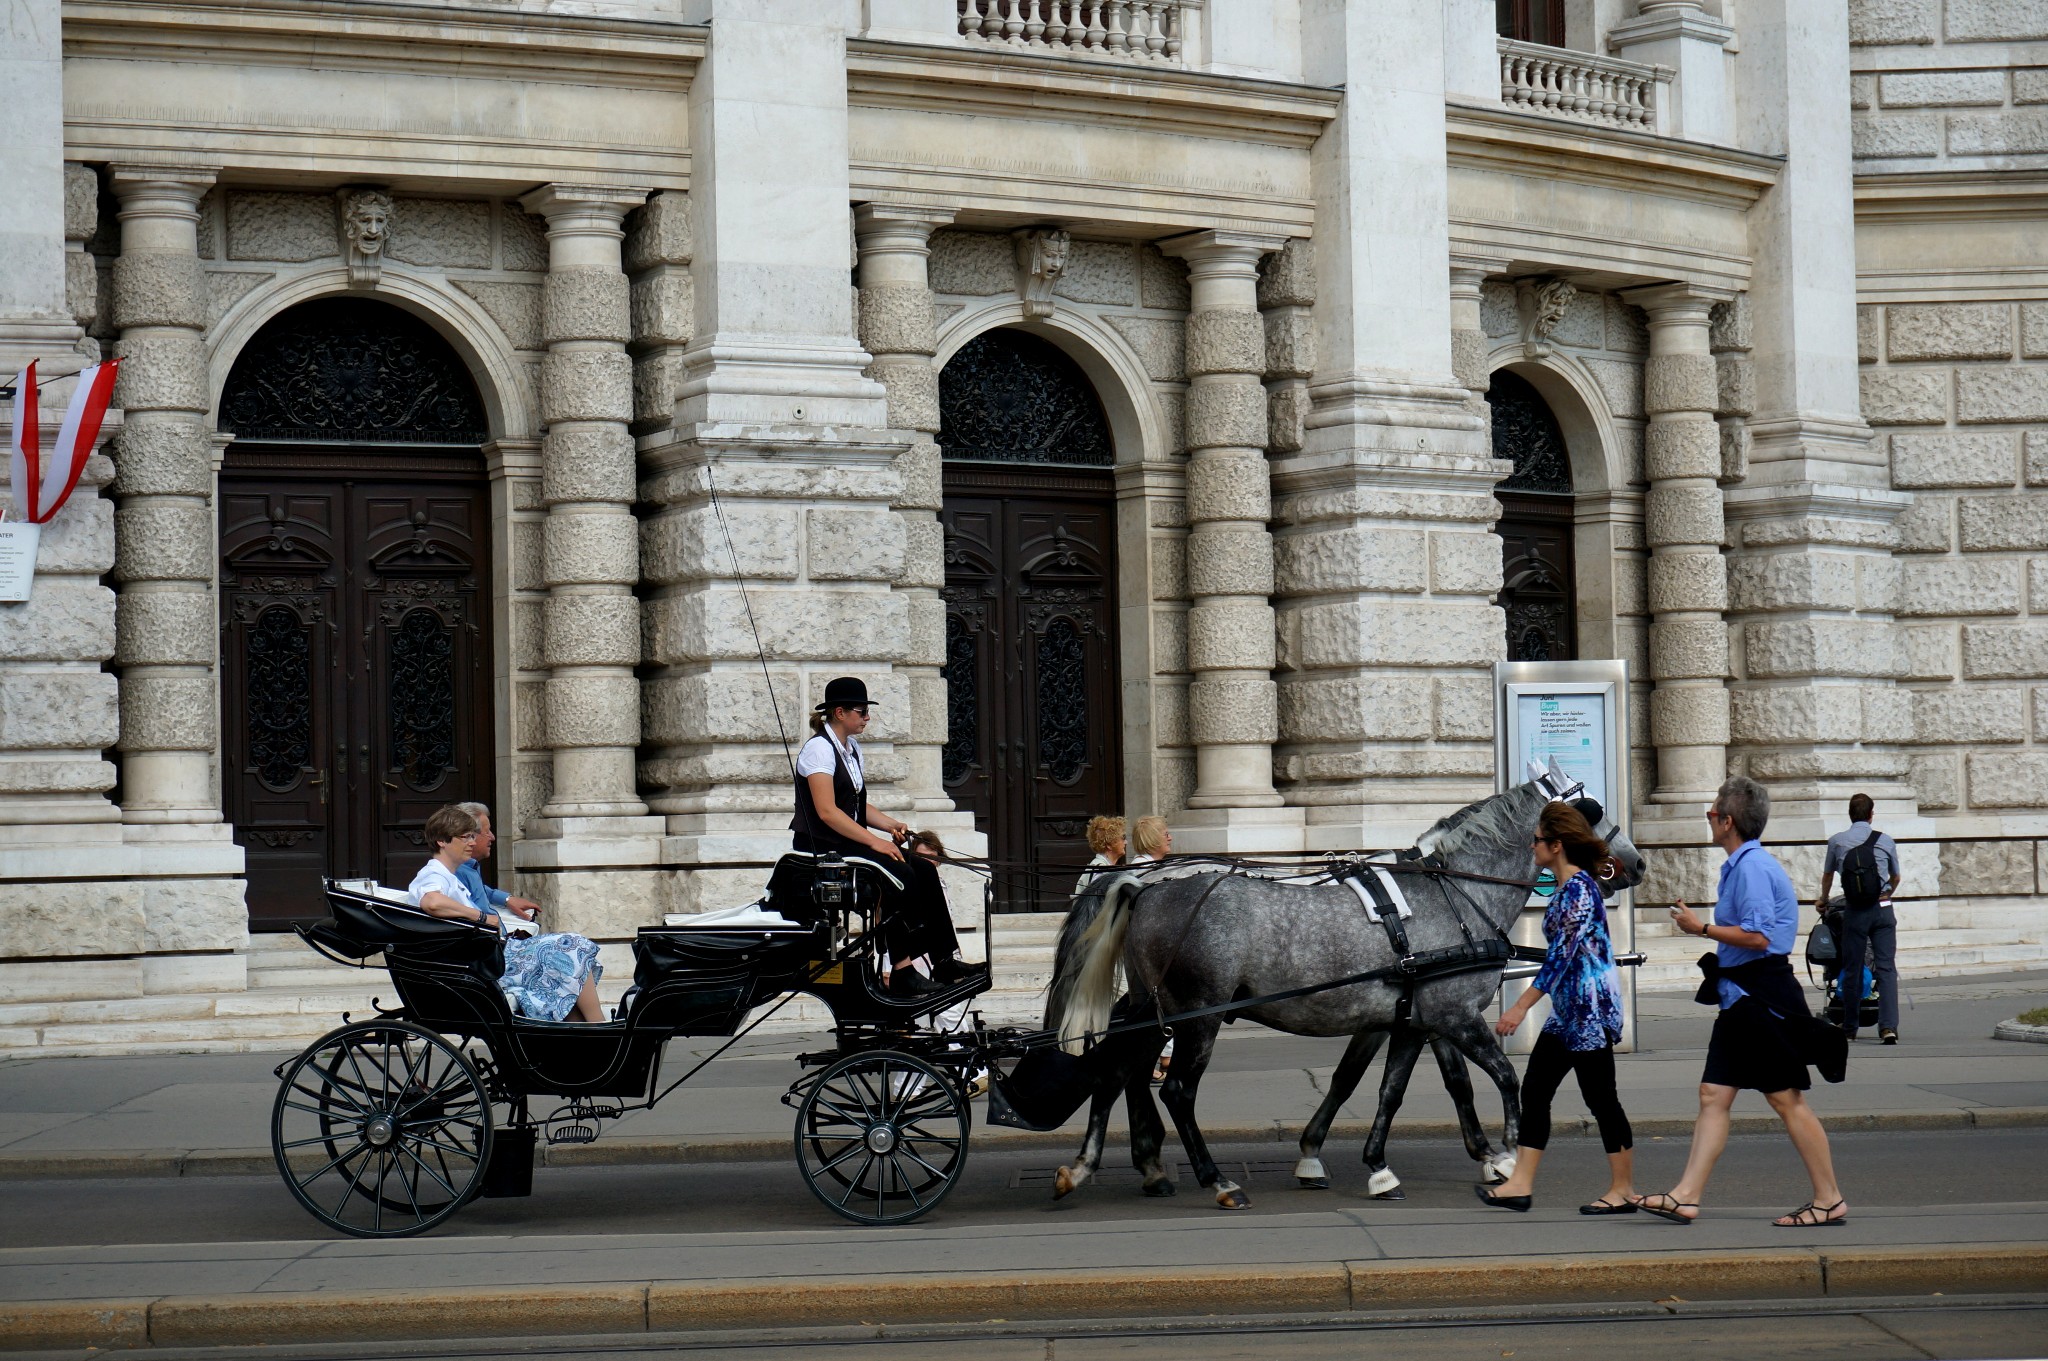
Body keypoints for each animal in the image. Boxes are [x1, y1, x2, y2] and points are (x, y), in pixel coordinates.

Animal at [1048, 769, 1638, 1203]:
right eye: (1593, 809)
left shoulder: (1410, 1022)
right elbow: (1502, 1077)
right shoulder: (1456, 1017)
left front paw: (1374, 1165)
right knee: (1174, 1090)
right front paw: (1508, 1155)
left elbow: (1387, 1088)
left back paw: (1099, 1167)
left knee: (1117, 1073)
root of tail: (1142, 885)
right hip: (1198, 1017)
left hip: (1152, 1009)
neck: (1454, 895)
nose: (1636, 862)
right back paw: (1217, 1180)